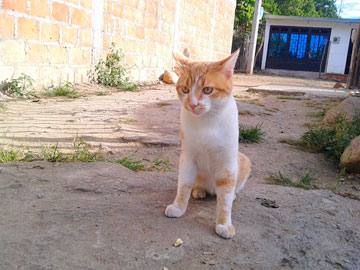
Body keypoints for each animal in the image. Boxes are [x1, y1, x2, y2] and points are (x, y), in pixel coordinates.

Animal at [165, 48, 252, 238]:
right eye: (185, 89)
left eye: (208, 89)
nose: (192, 104)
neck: (207, 122)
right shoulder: (187, 158)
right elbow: (184, 185)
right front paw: (178, 206)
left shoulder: (227, 163)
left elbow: (225, 200)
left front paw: (224, 224)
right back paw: (199, 191)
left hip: (244, 160)